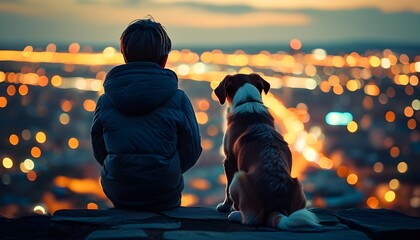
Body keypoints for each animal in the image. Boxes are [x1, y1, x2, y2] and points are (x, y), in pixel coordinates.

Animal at [215, 74, 320, 230]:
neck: (248, 100)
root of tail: (277, 206)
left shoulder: (229, 161)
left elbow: (227, 191)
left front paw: (225, 207)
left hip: (239, 178)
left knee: (251, 218)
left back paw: (235, 215)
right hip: (298, 186)